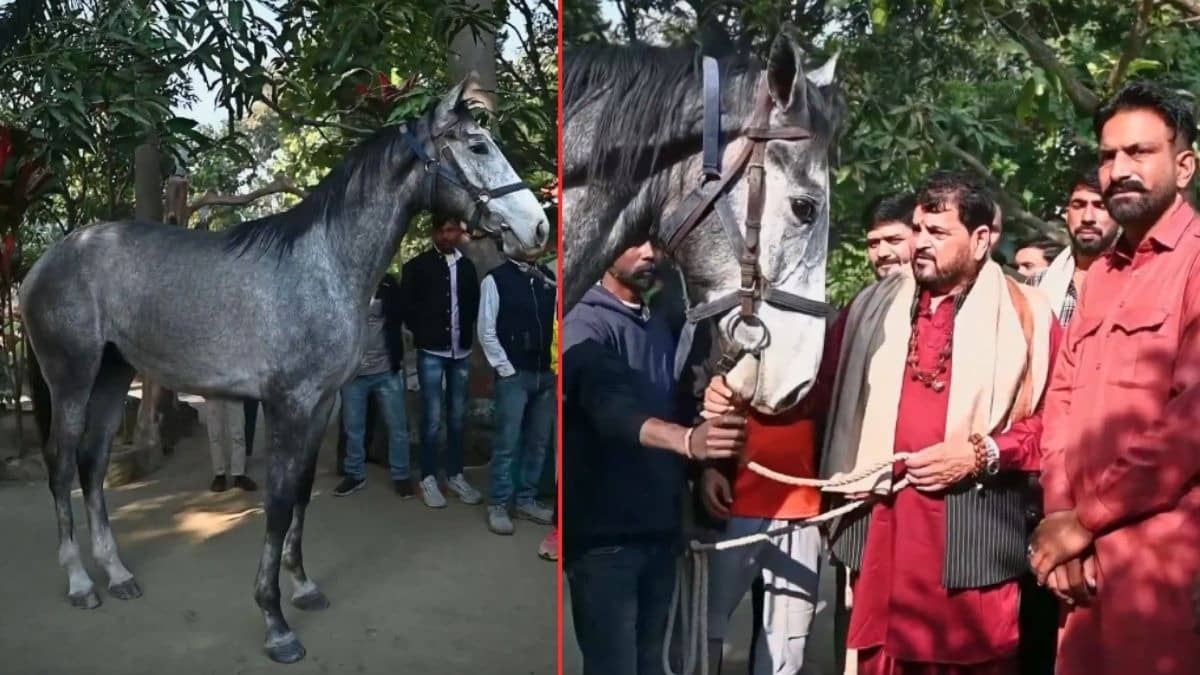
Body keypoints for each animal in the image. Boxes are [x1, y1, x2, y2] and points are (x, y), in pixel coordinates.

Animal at [18, 73, 548, 664]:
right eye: (478, 146)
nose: (539, 227)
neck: (324, 264)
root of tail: (47, 260)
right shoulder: (287, 406)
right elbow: (275, 504)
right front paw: (275, 622)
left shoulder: (320, 405)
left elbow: (299, 496)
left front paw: (303, 587)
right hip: (71, 379)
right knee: (62, 466)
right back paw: (80, 583)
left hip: (112, 376)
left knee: (92, 465)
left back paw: (117, 573)